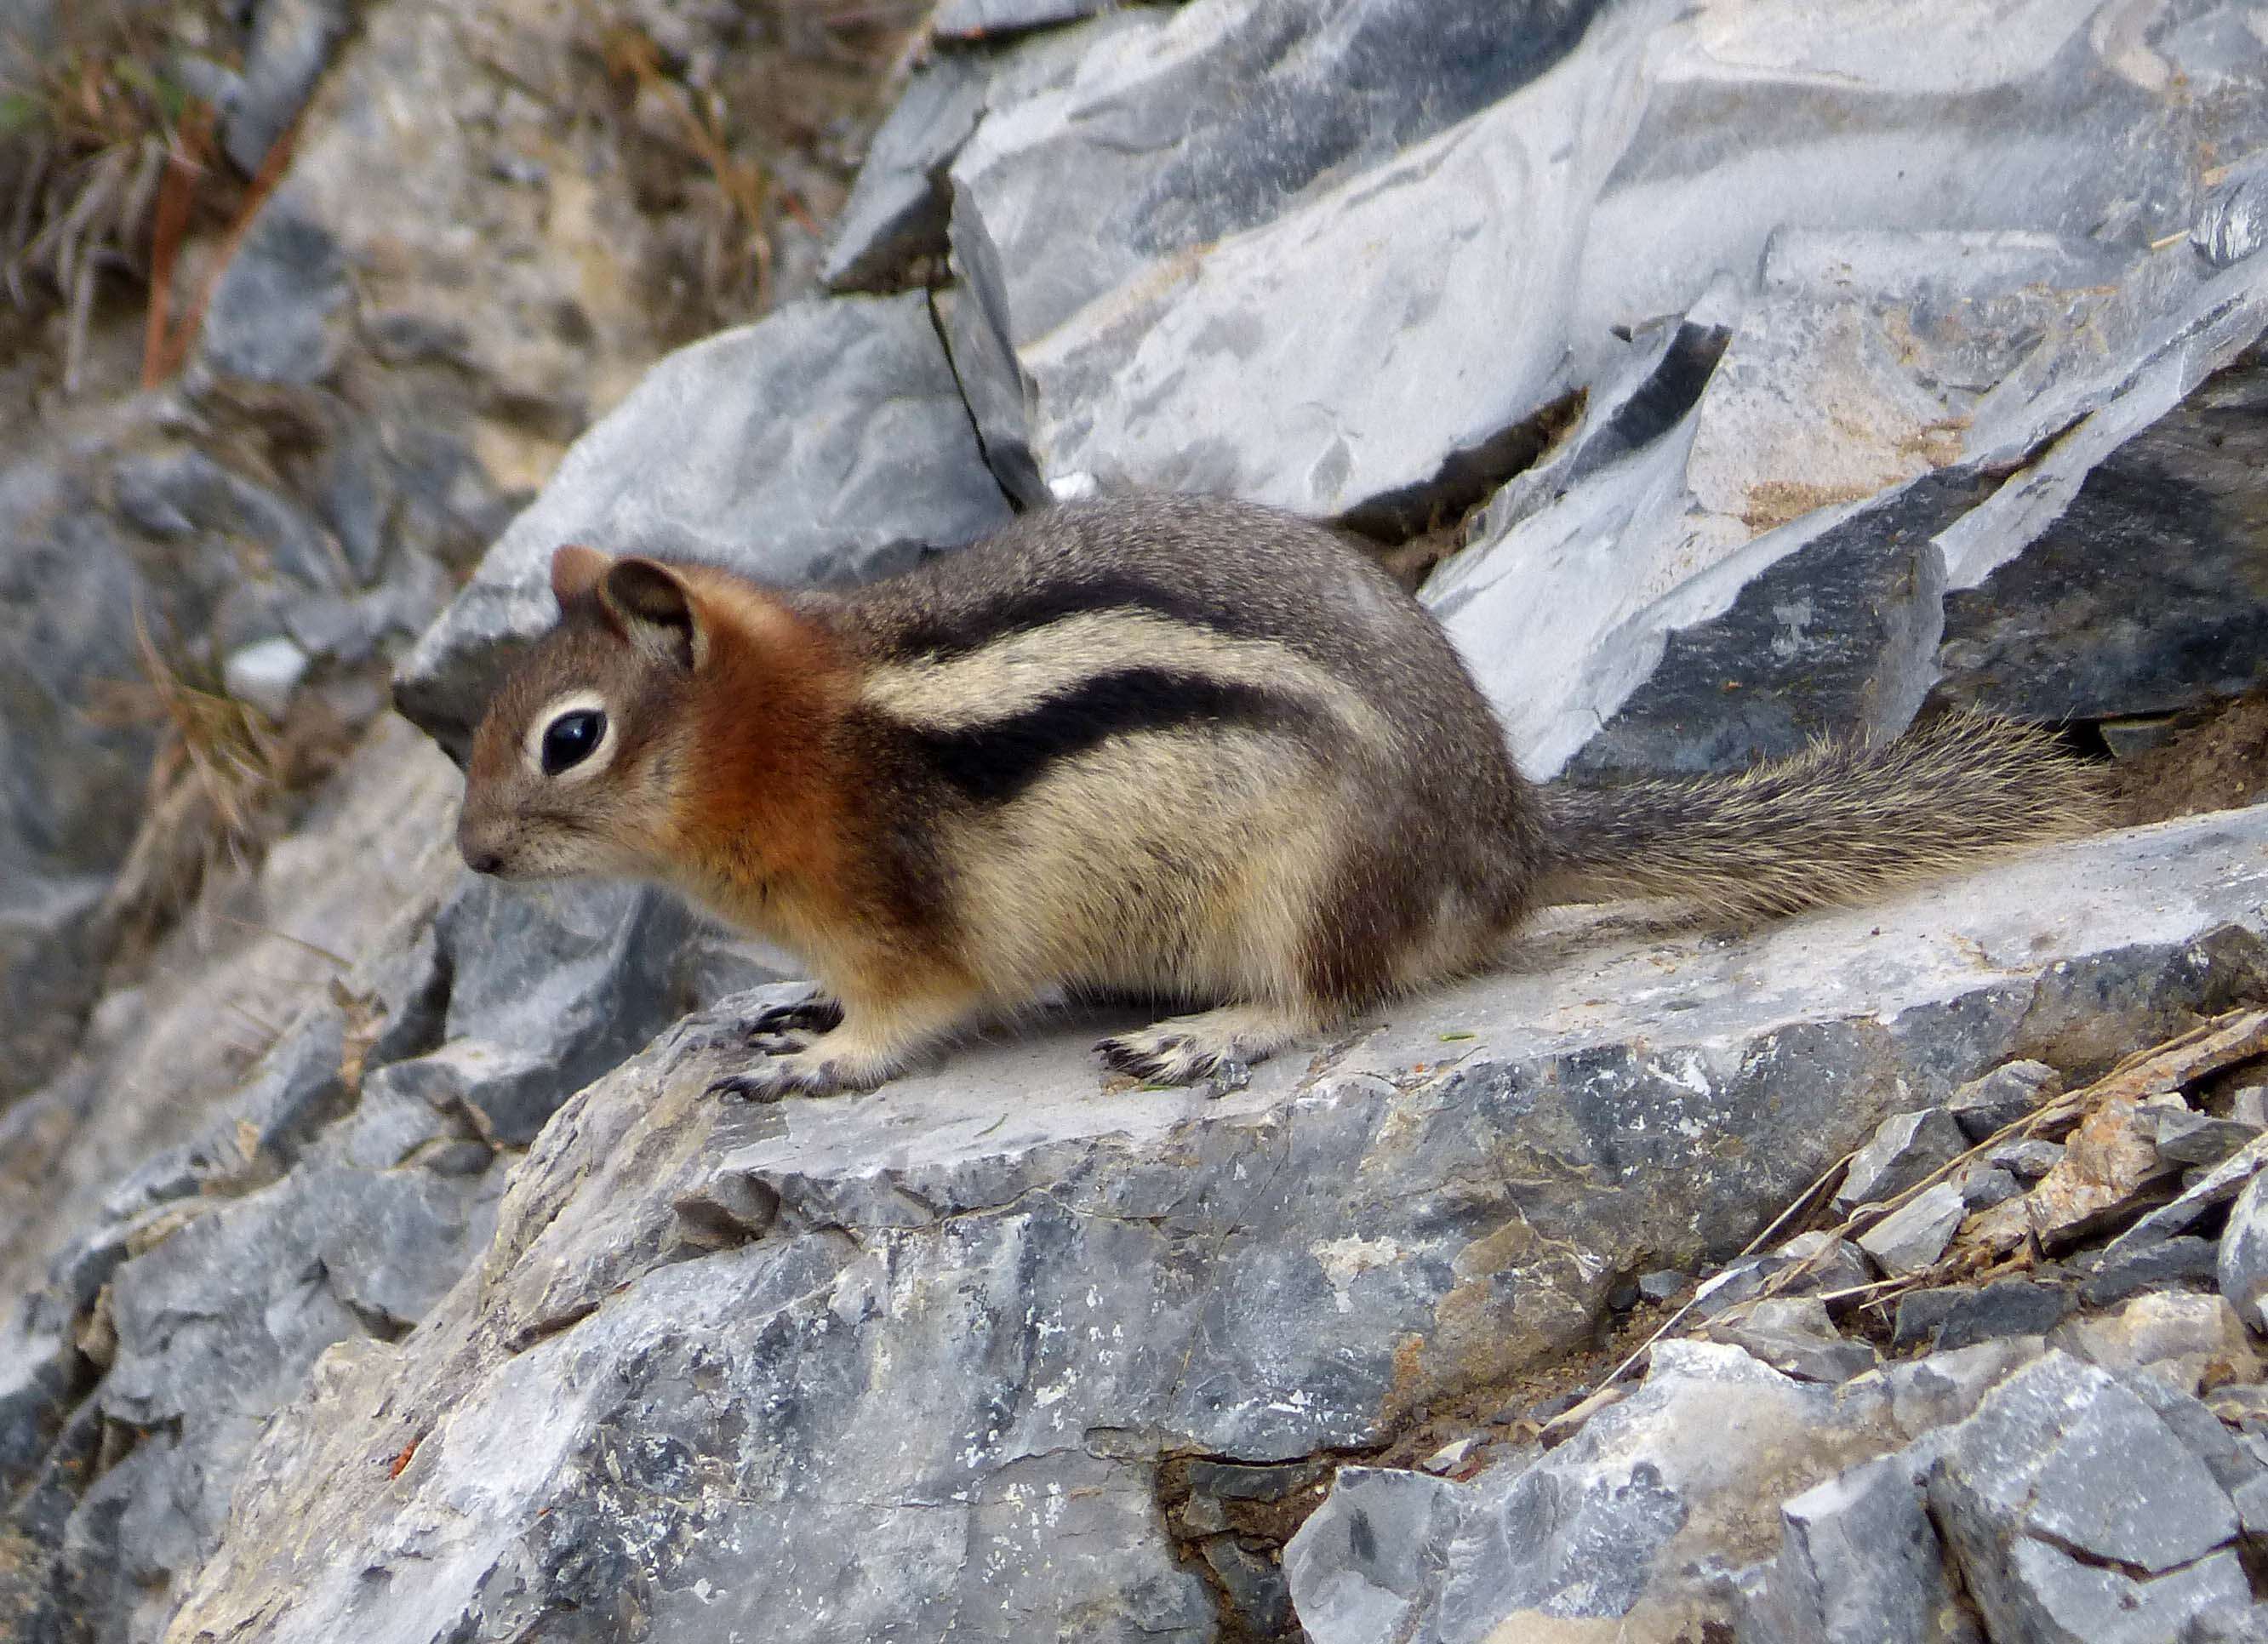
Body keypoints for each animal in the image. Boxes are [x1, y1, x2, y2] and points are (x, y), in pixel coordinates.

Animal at [451, 494, 2095, 1097]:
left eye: (570, 739)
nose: (469, 858)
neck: (776, 735)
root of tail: (1506, 839)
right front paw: (789, 1018)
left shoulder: (898, 910)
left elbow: (911, 1010)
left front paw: (824, 1061)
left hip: (1307, 880)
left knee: (1333, 991)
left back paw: (1205, 1034)